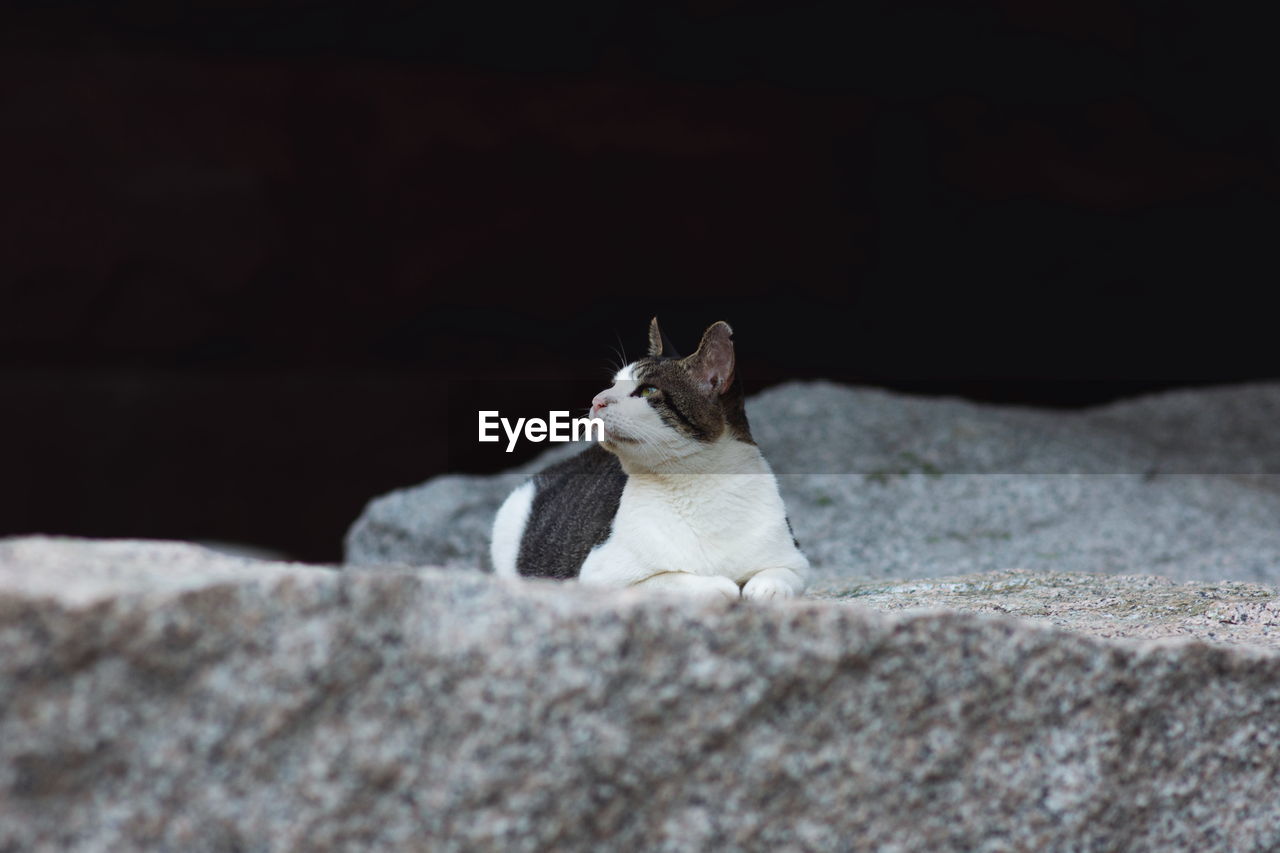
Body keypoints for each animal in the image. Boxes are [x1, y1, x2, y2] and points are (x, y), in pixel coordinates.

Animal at [488, 315, 808, 601]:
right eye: (613, 384)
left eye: (648, 390)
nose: (596, 400)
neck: (698, 484)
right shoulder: (600, 572)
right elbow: (678, 581)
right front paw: (722, 585)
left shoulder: (794, 561)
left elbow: (777, 577)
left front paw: (762, 589)